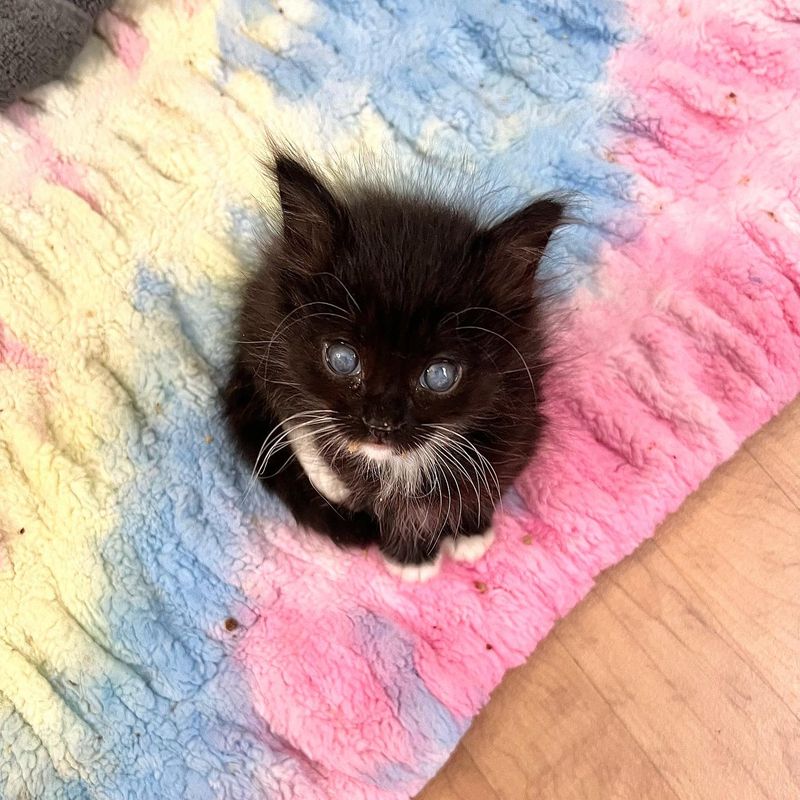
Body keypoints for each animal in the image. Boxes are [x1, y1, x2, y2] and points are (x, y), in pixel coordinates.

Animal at [222, 150, 564, 580]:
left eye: (439, 375)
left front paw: (469, 529)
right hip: (265, 331)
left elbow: (491, 480)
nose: (380, 424)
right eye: (342, 359)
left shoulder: (521, 410)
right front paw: (411, 555)